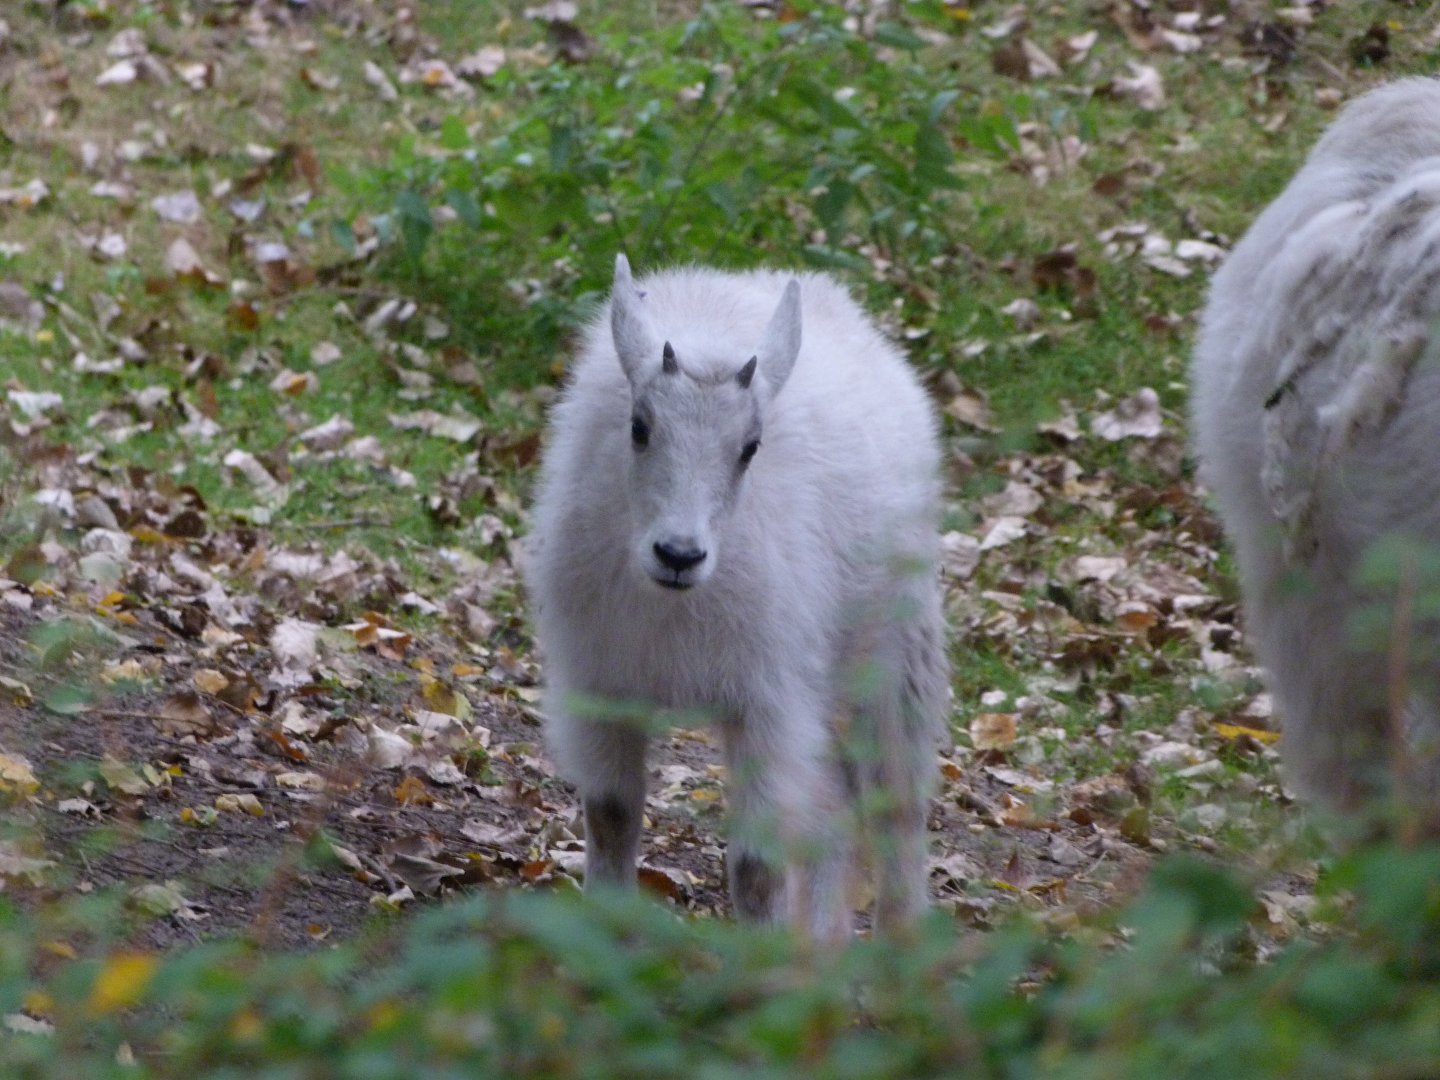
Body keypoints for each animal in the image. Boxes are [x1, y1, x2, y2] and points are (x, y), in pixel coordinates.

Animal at [526, 255, 948, 938]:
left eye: (750, 448)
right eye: (639, 428)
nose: (678, 555)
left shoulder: (764, 702)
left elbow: (756, 868)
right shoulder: (604, 682)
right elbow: (612, 815)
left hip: (896, 649)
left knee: (897, 804)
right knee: (833, 805)